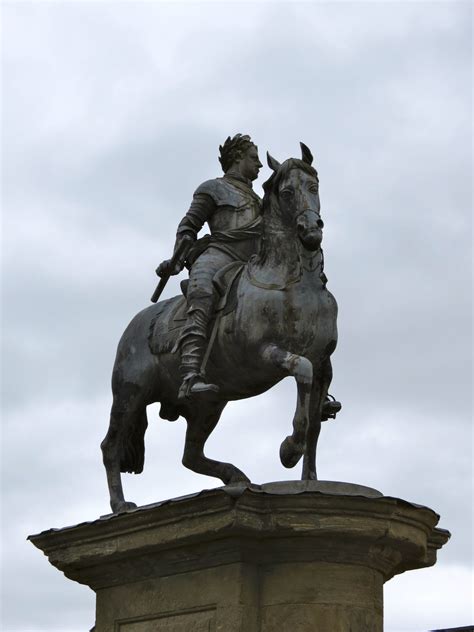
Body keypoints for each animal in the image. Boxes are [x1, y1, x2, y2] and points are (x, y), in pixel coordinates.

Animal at [101, 143, 336, 512]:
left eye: (314, 186)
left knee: (190, 455)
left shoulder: (325, 365)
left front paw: (310, 482)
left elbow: (314, 423)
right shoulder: (264, 353)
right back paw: (120, 506)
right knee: (110, 446)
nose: (311, 229)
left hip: (208, 405)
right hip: (130, 394)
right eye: (286, 192)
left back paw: (235, 477)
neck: (295, 284)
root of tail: (135, 326)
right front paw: (288, 449)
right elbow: (301, 370)